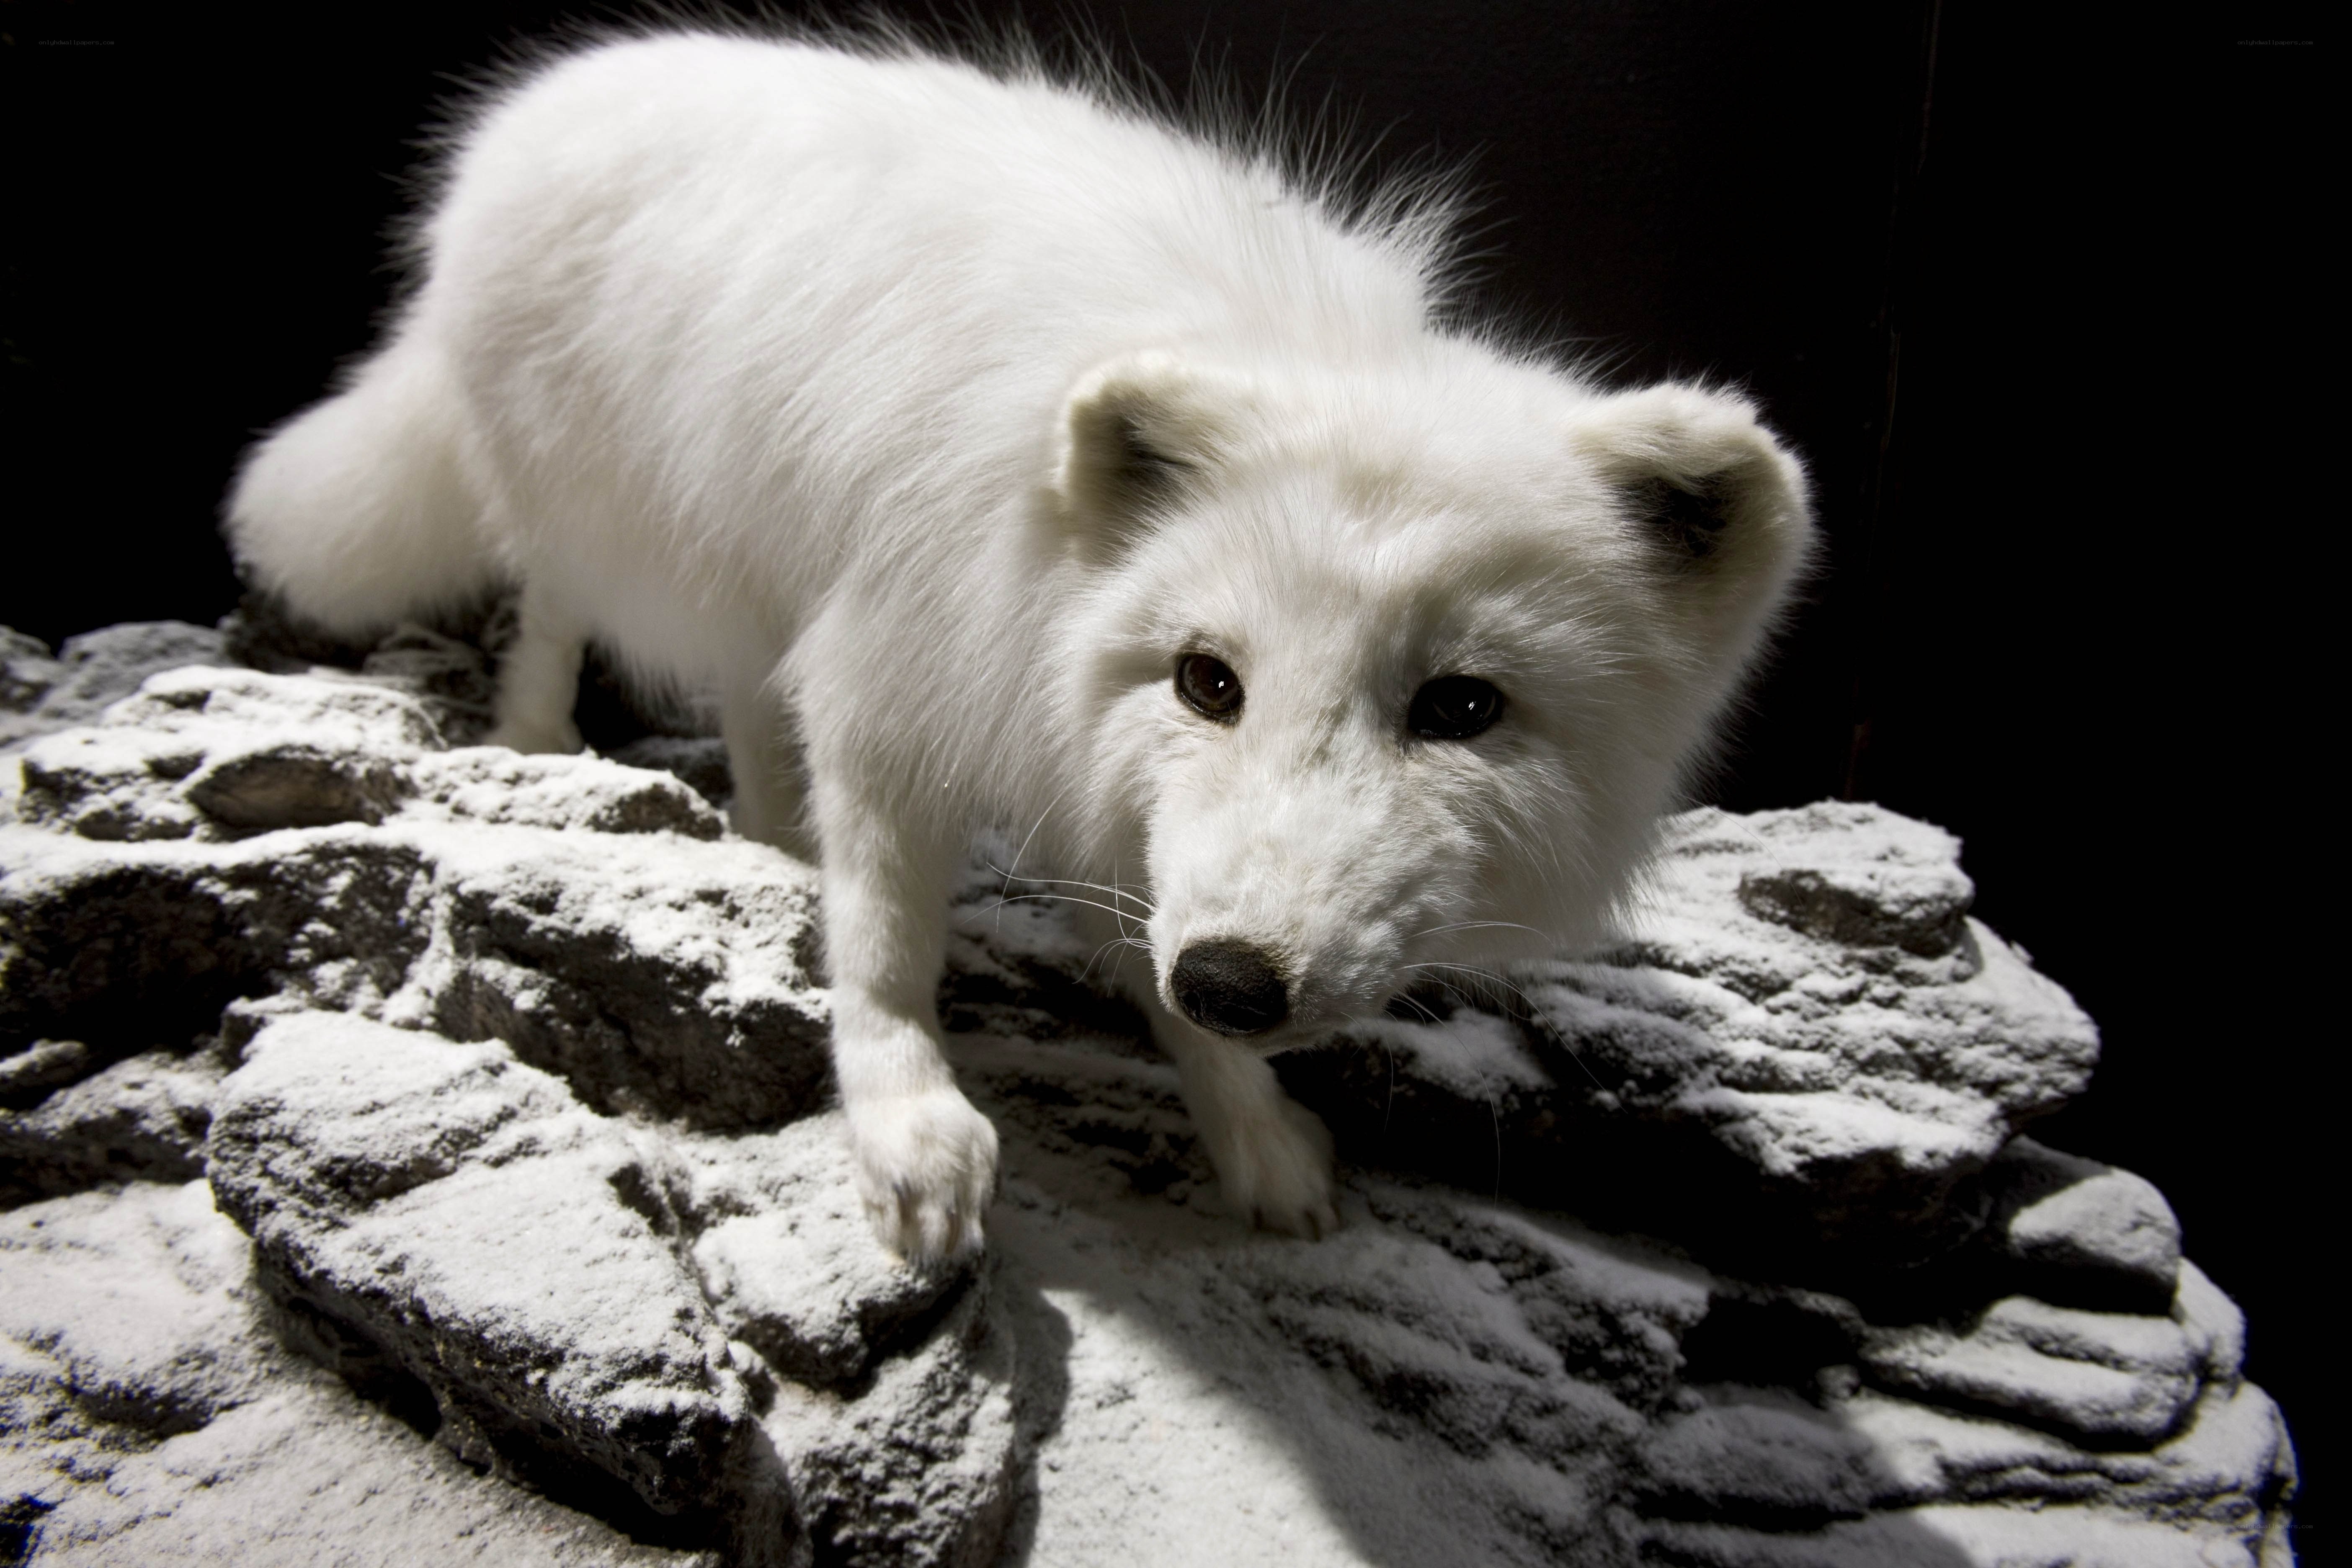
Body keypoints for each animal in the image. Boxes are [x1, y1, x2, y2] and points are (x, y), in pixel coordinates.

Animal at [226, 27, 1814, 1264]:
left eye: (1462, 706)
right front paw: (907, 1126)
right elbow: (886, 944)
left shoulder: (1086, 779)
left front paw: (1253, 1134)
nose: (1237, 980)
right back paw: (540, 739)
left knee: (746, 691)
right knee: (553, 604)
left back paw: (771, 833)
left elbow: (1146, 950)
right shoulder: (897, 664)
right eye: (1208, 680)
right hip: (601, 507)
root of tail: (532, 107)